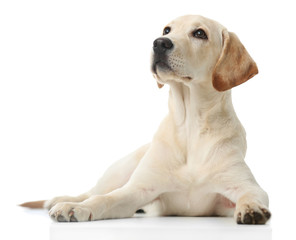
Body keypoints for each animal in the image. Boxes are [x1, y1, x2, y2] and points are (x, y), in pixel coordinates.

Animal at [20, 14, 270, 225]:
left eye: (200, 33)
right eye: (167, 29)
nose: (159, 43)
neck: (190, 126)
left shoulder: (242, 186)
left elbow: (251, 193)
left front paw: (251, 208)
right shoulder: (137, 190)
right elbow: (104, 199)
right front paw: (76, 208)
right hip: (121, 170)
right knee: (92, 192)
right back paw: (62, 199)